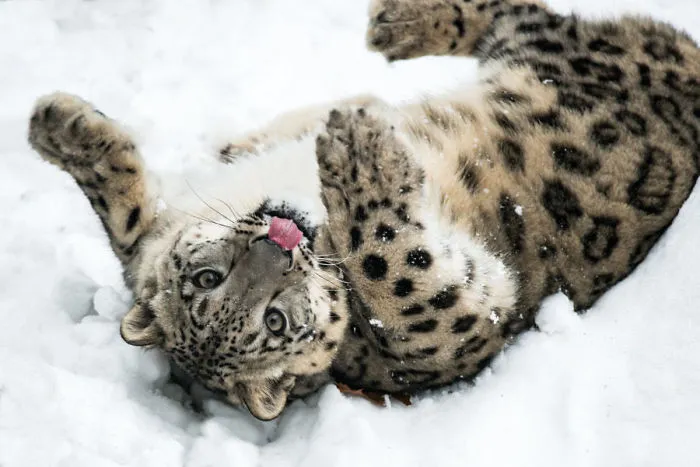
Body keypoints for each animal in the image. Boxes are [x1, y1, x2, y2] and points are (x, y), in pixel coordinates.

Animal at [27, 0, 699, 421]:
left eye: (207, 277)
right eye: (275, 323)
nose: (279, 243)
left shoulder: (156, 229)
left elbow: (126, 215)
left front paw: (54, 125)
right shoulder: (457, 325)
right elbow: (393, 271)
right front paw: (361, 155)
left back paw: (389, 36)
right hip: (566, 56)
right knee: (525, 19)